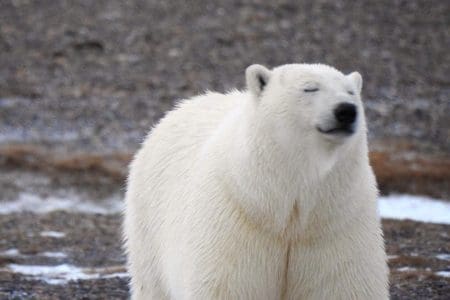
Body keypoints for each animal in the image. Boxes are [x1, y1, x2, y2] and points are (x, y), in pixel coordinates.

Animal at [124, 63, 390, 300]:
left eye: (351, 92)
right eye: (310, 88)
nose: (346, 110)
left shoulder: (336, 225)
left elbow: (343, 286)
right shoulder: (236, 220)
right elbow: (226, 287)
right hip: (149, 225)